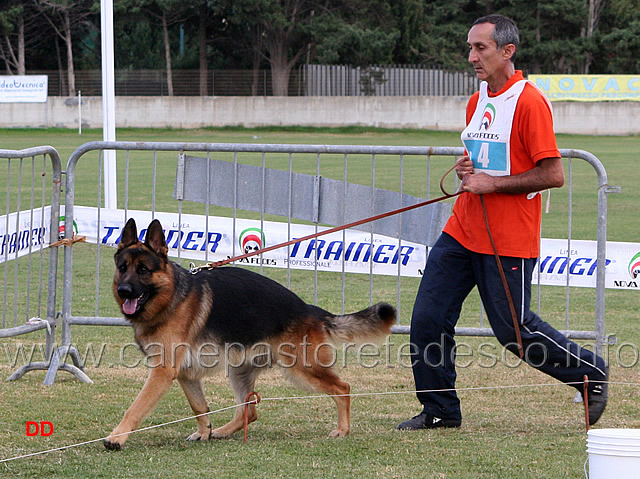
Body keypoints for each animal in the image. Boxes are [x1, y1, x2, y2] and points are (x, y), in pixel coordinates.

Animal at [104, 218, 396, 450]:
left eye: (143, 270)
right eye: (123, 267)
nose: (123, 291)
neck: (171, 297)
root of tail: (309, 309)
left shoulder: (162, 372)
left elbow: (136, 407)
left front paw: (116, 438)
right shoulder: (185, 374)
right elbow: (199, 407)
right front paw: (204, 432)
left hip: (302, 369)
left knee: (343, 388)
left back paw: (343, 429)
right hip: (239, 370)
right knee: (250, 409)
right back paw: (221, 431)